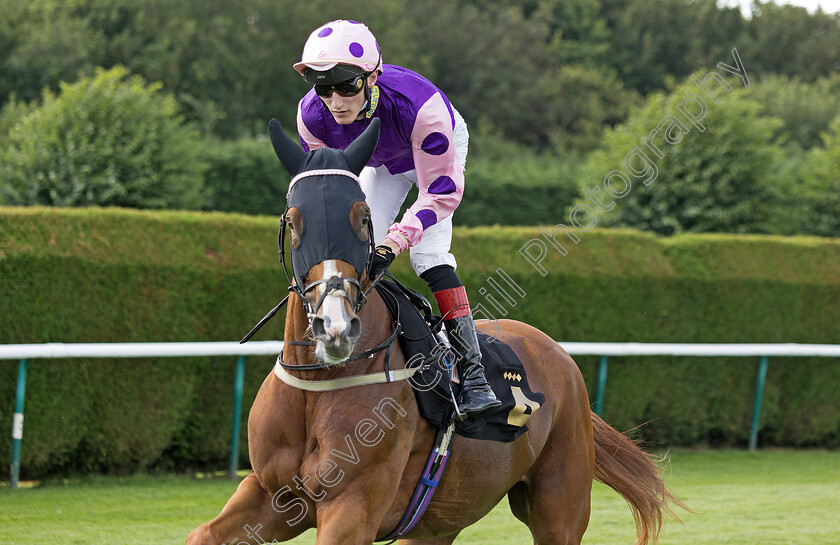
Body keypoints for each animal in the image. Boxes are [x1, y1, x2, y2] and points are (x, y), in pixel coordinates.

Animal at [185, 117, 684, 540]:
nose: (335, 327)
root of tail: (557, 353)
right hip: (437, 522)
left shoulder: (352, 507)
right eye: (294, 221)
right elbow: (202, 534)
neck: (321, 384)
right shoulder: (271, 495)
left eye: (362, 218)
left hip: (560, 505)